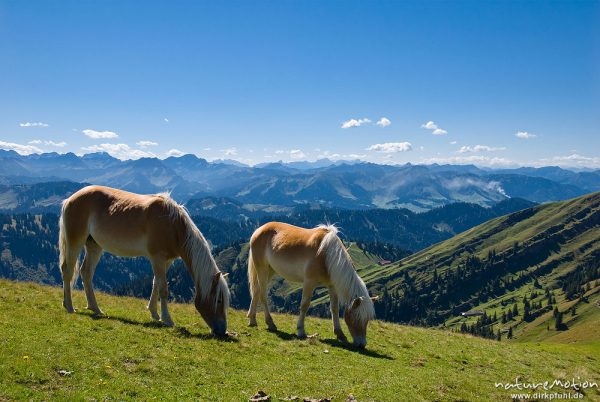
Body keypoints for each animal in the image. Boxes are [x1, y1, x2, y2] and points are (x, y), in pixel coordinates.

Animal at [59, 185, 230, 336]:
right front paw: (167, 319)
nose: (222, 331)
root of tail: (70, 199)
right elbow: (163, 289)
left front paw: (154, 314)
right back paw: (69, 307)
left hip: (94, 245)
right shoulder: (157, 258)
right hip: (76, 241)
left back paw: (95, 308)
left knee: (86, 272)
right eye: (219, 300)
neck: (173, 225)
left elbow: (155, 284)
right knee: (68, 270)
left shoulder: (166, 261)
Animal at [246, 221, 378, 348]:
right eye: (356, 318)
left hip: (270, 271)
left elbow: (334, 308)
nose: (362, 344)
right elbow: (305, 305)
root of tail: (258, 230)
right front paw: (301, 331)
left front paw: (340, 334)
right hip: (262, 269)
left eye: (367, 320)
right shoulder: (309, 282)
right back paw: (270, 323)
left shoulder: (332, 286)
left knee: (256, 291)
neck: (326, 255)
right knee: (262, 294)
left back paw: (252, 320)